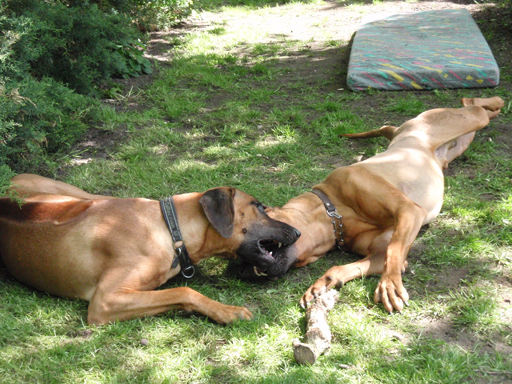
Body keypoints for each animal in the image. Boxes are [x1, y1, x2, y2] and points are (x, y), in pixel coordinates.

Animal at [0, 176, 302, 326]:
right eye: (259, 206)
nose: (298, 232)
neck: (169, 229)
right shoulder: (105, 301)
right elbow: (184, 291)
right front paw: (227, 311)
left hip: (81, 195)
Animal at [264, 96, 504, 312]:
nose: (253, 269)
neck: (333, 211)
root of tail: (400, 131)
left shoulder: (408, 211)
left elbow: (394, 250)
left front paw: (389, 285)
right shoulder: (376, 255)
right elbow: (345, 266)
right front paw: (320, 286)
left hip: (465, 121)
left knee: (474, 105)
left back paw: (495, 102)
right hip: (461, 140)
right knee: (472, 106)